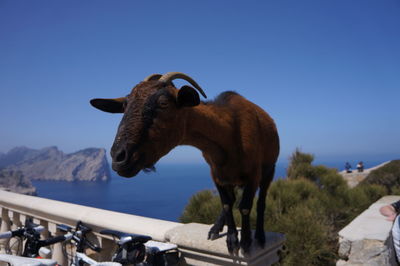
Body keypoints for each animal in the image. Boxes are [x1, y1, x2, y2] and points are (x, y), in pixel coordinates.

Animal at [90, 72, 278, 254]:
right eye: (124, 106)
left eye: (163, 103)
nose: (118, 157)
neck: (230, 132)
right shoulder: (216, 174)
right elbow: (226, 203)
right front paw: (231, 240)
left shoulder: (253, 174)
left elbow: (245, 207)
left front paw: (245, 242)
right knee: (231, 200)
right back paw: (216, 229)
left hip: (269, 171)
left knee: (261, 202)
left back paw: (259, 236)